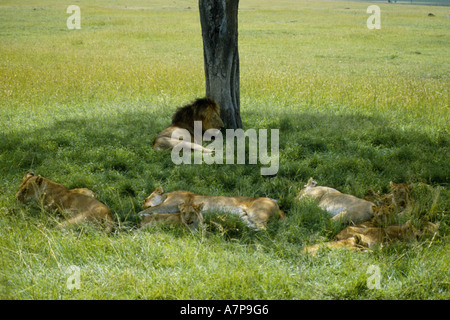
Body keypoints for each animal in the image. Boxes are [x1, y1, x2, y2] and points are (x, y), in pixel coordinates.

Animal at [138, 185, 284, 230]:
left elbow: (149, 210)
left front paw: (141, 213)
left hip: (257, 212)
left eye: (145, 199)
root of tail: (277, 205)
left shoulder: (170, 204)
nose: (142, 202)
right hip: (244, 217)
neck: (166, 195)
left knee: (264, 228)